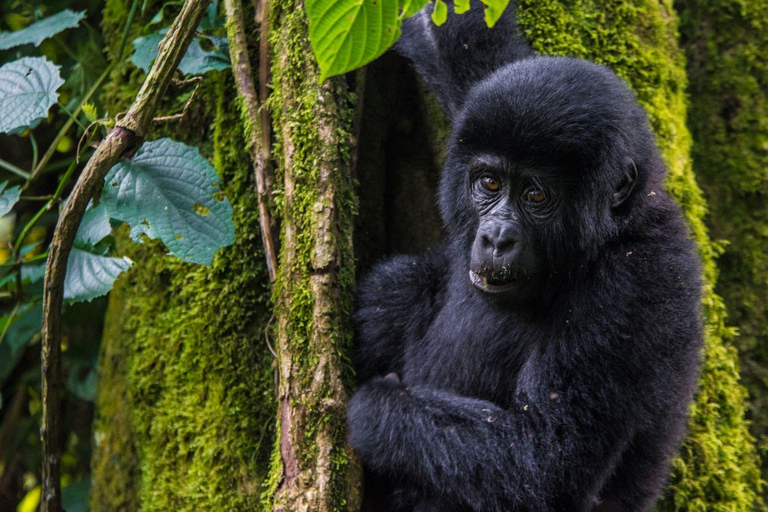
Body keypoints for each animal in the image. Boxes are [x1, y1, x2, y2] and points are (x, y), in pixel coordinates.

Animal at [346, 2, 704, 510]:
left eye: (536, 195)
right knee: (399, 283)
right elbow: (451, 37)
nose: (497, 237)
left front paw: (375, 408)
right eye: (490, 183)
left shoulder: (634, 284)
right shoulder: (483, 101)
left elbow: (543, 461)